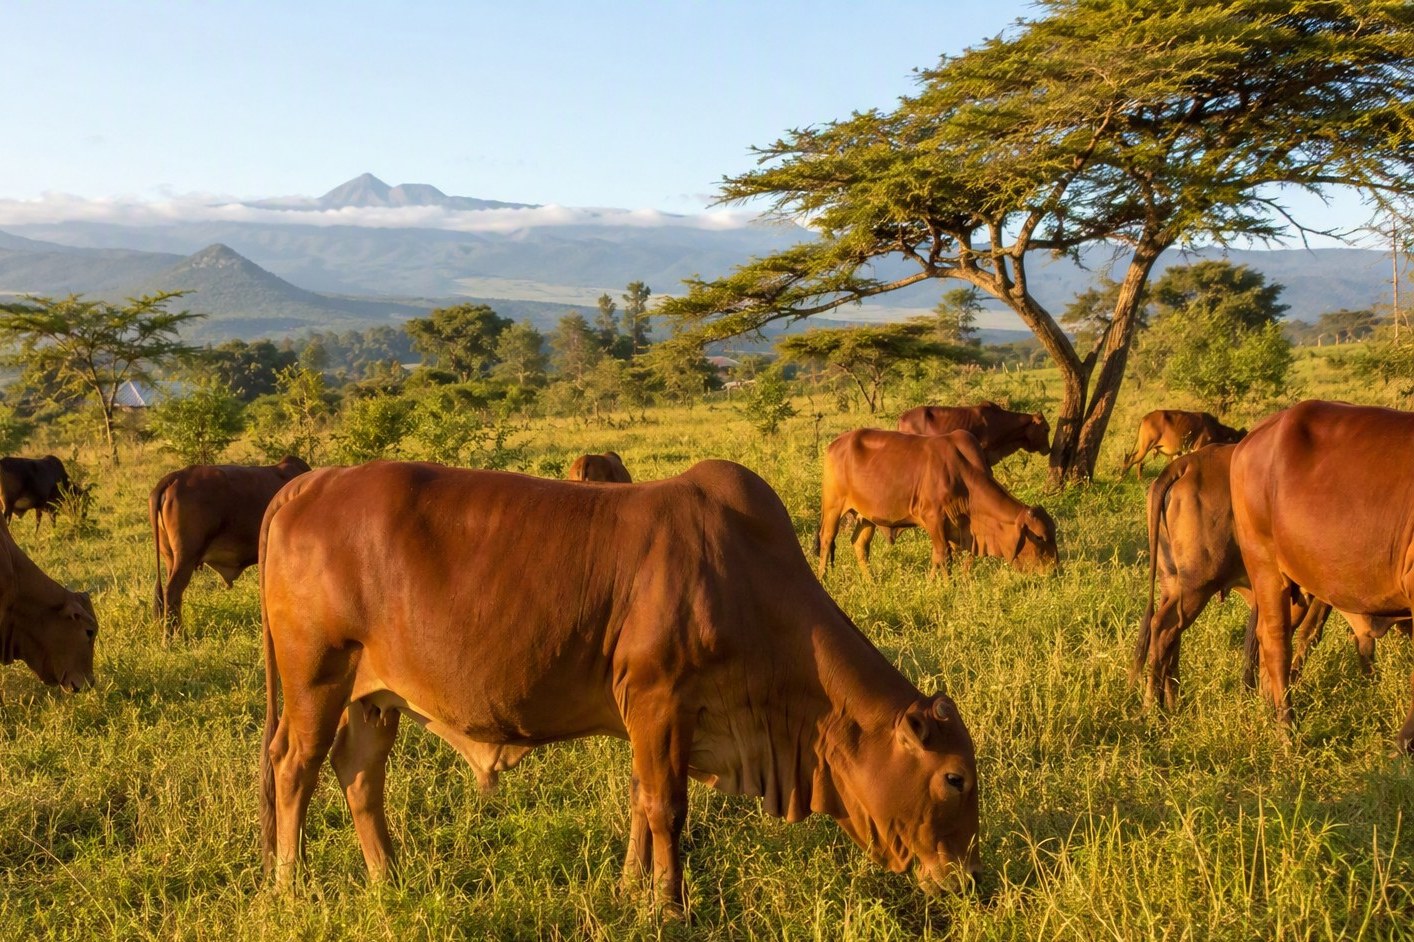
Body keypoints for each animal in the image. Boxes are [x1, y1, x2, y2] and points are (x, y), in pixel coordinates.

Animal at [258, 460, 980, 911]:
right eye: (954, 779)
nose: (967, 877)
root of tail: (307, 486)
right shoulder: (662, 701)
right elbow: (665, 808)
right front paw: (670, 905)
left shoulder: (655, 716)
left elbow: (640, 800)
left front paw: (633, 891)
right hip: (317, 675)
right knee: (294, 767)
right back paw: (291, 887)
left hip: (373, 697)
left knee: (359, 775)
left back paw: (390, 878)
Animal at [817, 429, 1057, 580]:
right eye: (1040, 537)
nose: (1055, 571)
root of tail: (833, 445)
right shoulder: (934, 519)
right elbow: (943, 556)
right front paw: (948, 586)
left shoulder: (956, 526)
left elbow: (941, 557)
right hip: (833, 507)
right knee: (826, 539)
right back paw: (823, 577)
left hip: (867, 517)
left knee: (860, 545)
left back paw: (871, 581)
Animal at [1230, 400, 1414, 750]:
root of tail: (1259, 433)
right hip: (1267, 567)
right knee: (1276, 641)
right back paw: (1286, 730)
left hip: (1300, 585)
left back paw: (1268, 707)